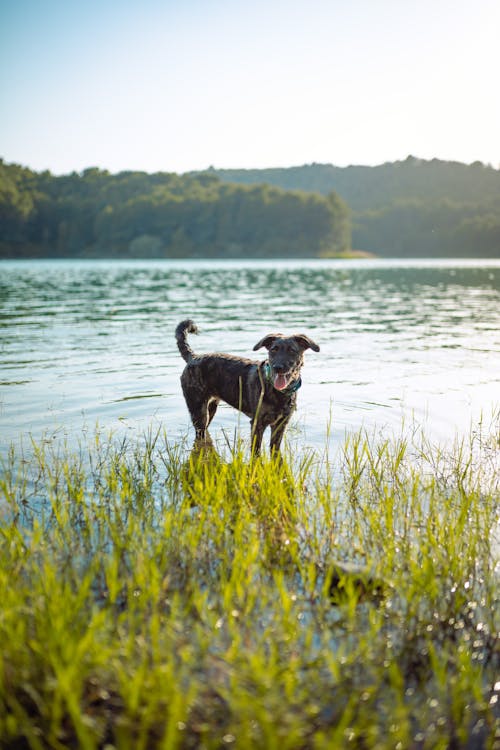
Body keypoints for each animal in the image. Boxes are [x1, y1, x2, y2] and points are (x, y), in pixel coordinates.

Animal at [174, 320, 318, 456]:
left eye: (292, 350)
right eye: (273, 349)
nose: (278, 367)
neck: (277, 392)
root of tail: (194, 358)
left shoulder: (281, 425)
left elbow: (275, 452)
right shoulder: (257, 424)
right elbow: (256, 452)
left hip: (211, 408)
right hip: (199, 412)